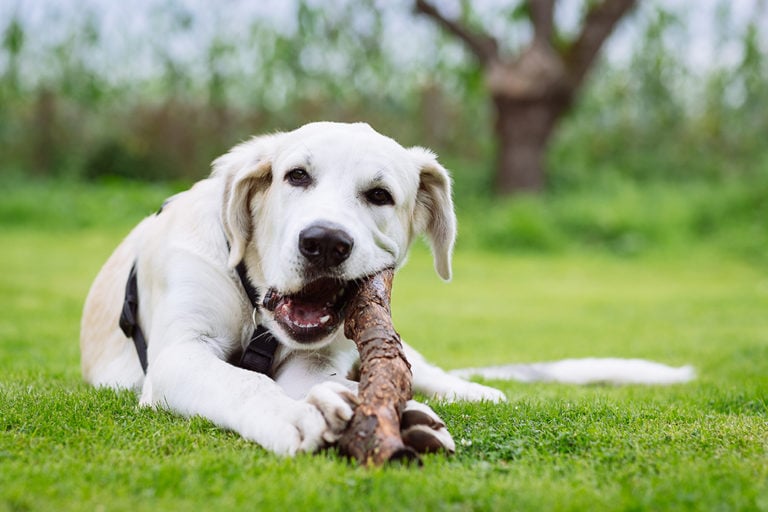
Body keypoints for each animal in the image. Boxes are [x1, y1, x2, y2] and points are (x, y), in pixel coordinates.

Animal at [81, 123, 692, 456]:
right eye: (295, 176)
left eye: (379, 195)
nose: (324, 243)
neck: (257, 306)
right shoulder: (179, 355)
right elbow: (243, 383)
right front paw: (294, 416)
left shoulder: (321, 355)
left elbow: (317, 379)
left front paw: (354, 407)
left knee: (429, 371)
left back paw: (465, 393)